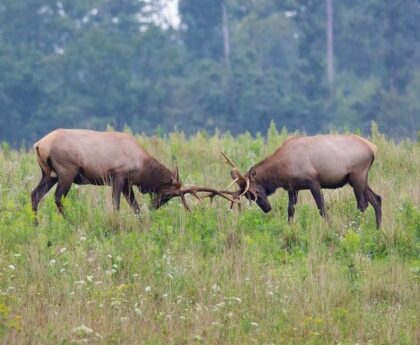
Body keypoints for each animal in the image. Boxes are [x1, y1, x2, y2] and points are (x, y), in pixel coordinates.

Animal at [31, 128, 238, 220]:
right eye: (168, 194)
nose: (153, 207)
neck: (142, 168)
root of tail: (39, 144)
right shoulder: (118, 175)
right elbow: (116, 205)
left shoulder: (127, 184)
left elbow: (135, 207)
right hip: (66, 171)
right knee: (58, 198)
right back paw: (71, 221)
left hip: (49, 174)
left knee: (35, 194)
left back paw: (35, 224)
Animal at [221, 135, 382, 228]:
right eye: (247, 195)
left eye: (255, 191)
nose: (267, 208)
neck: (281, 171)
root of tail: (373, 148)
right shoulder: (292, 187)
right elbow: (290, 210)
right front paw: (289, 229)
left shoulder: (313, 181)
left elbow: (322, 209)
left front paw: (330, 228)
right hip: (360, 178)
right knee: (377, 199)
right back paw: (378, 229)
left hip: (357, 176)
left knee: (362, 204)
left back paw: (356, 227)